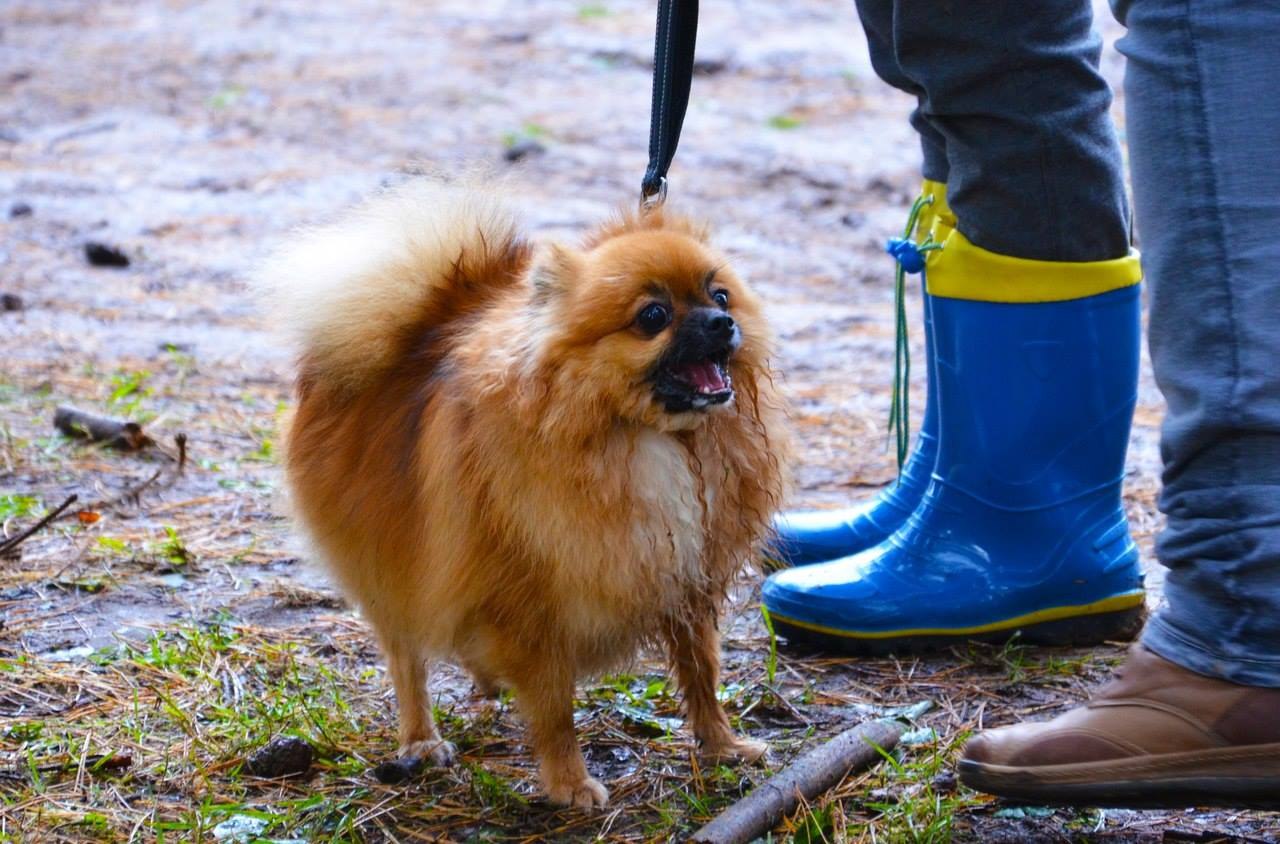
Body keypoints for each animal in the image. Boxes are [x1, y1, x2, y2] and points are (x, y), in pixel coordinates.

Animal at [262, 181, 788, 809]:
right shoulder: (532, 603)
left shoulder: (685, 577)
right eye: (653, 316)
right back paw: (421, 740)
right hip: (392, 561)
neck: (642, 436)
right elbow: (553, 707)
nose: (720, 323)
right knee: (407, 660)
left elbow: (702, 671)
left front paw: (721, 745)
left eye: (721, 295)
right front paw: (569, 782)